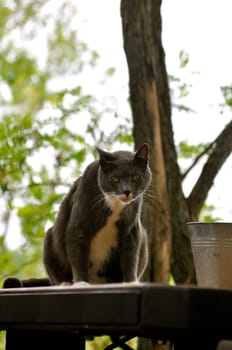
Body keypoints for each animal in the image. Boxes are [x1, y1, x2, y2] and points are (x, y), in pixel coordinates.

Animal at [43, 142, 152, 284]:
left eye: (136, 177)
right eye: (115, 179)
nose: (127, 191)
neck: (115, 205)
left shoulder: (131, 229)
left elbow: (130, 257)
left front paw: (130, 282)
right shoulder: (79, 223)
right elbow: (77, 253)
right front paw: (81, 283)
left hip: (143, 237)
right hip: (50, 240)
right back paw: (66, 283)